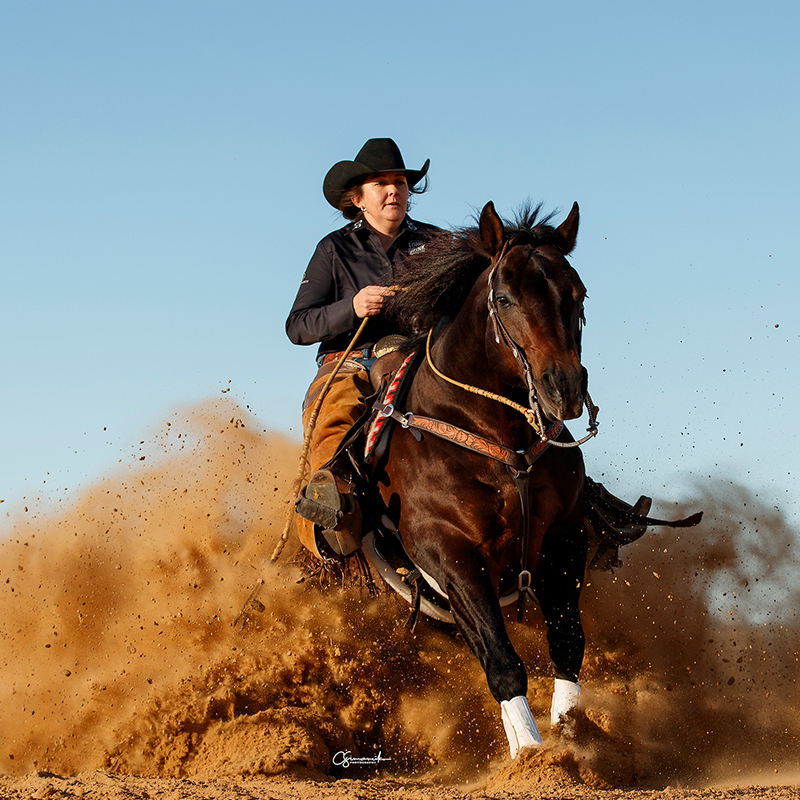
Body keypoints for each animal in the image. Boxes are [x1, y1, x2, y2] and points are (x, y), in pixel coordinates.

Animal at [366, 198, 596, 756]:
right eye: (506, 298)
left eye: (577, 294)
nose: (564, 387)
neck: (502, 443)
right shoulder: (447, 551)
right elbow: (503, 663)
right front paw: (534, 757)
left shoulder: (565, 536)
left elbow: (567, 642)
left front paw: (572, 739)